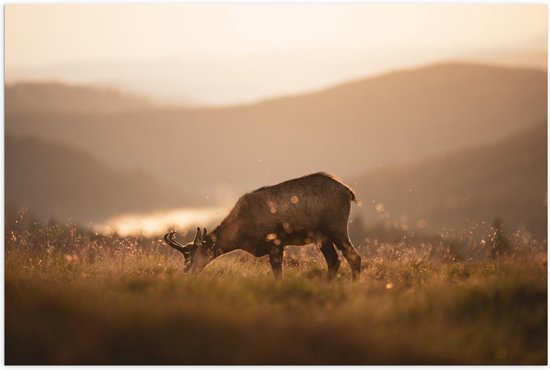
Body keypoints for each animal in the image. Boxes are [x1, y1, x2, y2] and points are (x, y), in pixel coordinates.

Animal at [164, 173, 362, 280]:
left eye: (192, 255)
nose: (186, 273)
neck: (241, 234)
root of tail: (349, 192)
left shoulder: (275, 242)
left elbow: (277, 273)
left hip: (336, 226)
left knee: (354, 257)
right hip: (322, 236)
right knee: (334, 261)